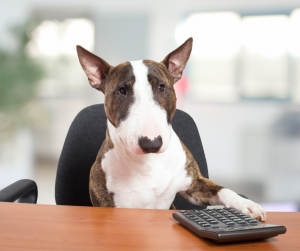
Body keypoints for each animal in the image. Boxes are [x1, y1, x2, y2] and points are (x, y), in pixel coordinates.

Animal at [76, 37, 266, 222]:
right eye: (122, 90)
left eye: (161, 87)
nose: (151, 143)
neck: (148, 163)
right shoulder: (110, 204)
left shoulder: (194, 184)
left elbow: (222, 190)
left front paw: (247, 205)